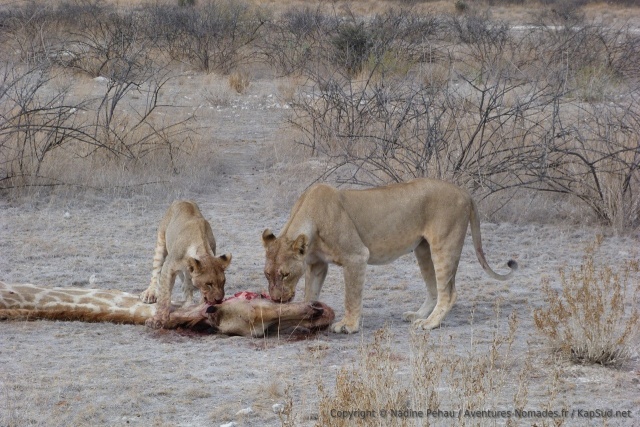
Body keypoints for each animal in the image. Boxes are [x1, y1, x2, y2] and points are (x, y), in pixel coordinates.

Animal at [140, 200, 232, 329]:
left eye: (223, 282)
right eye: (208, 284)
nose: (219, 300)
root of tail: (182, 200)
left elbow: (194, 292)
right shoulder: (169, 267)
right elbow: (164, 296)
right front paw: (157, 320)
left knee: (186, 286)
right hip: (161, 241)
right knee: (156, 271)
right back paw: (150, 293)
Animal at [262, 178, 517, 333]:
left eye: (285, 274)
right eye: (267, 274)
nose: (276, 299)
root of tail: (464, 192)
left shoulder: (356, 256)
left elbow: (351, 296)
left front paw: (348, 325)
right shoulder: (317, 264)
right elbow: (310, 294)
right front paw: (305, 317)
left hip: (444, 245)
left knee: (449, 292)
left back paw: (430, 323)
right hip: (423, 249)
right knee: (434, 288)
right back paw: (418, 315)